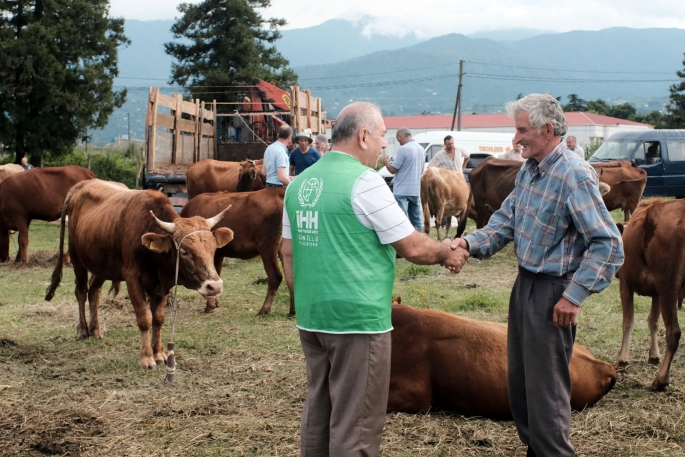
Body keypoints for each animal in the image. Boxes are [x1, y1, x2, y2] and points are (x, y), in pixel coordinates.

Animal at [45, 178, 234, 366]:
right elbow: (144, 318)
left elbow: (158, 318)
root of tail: (84, 184)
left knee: (94, 292)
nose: (215, 286)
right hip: (77, 258)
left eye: (213, 248)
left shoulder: (162, 286)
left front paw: (159, 353)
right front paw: (147, 357)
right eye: (184, 251)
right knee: (81, 291)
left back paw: (95, 330)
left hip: (101, 263)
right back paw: (82, 330)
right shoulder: (133, 280)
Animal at [179, 187, 292, 316]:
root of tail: (277, 191)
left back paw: (264, 310)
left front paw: (210, 306)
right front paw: (214, 303)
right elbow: (216, 274)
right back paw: (292, 311)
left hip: (267, 246)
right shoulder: (219, 253)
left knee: (275, 277)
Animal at [616, 198, 680, 390]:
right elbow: (653, 321)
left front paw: (622, 359)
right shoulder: (657, 293)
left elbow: (628, 321)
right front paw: (654, 355)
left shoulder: (625, 284)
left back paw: (661, 379)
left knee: (673, 332)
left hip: (669, 286)